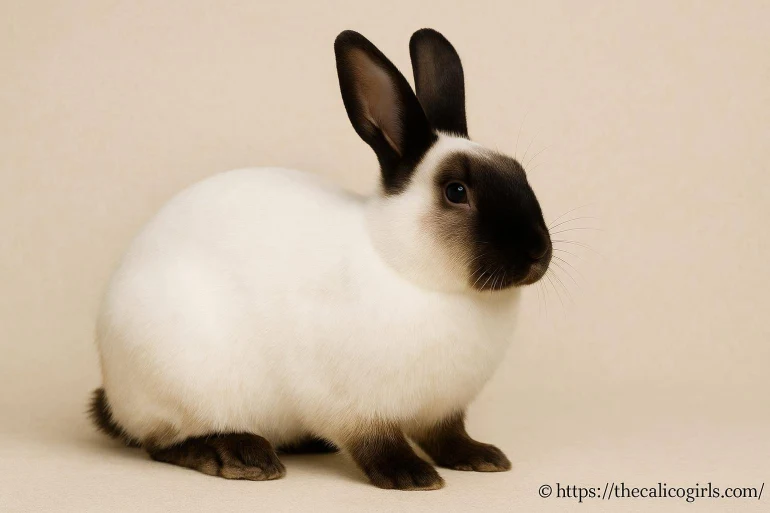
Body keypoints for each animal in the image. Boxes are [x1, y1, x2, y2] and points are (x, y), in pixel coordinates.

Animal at [88, 28, 552, 491]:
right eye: (456, 191)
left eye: (520, 173)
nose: (538, 252)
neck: (408, 269)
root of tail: (113, 392)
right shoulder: (349, 404)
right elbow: (374, 442)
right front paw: (411, 475)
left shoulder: (441, 409)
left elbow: (447, 436)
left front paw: (481, 457)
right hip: (181, 384)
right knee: (162, 443)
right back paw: (244, 457)